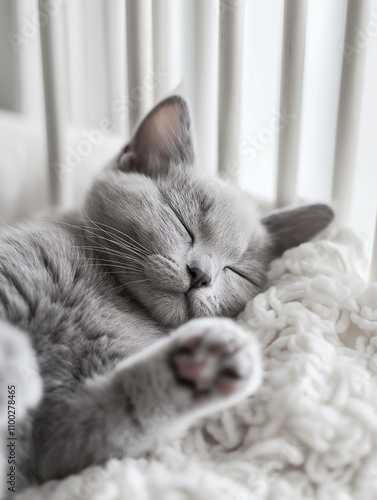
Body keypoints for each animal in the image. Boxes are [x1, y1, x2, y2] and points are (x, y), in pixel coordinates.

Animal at [0, 95, 330, 494]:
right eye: (181, 222)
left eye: (236, 270)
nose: (201, 274)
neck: (108, 292)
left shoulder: (61, 435)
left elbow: (112, 419)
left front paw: (203, 364)